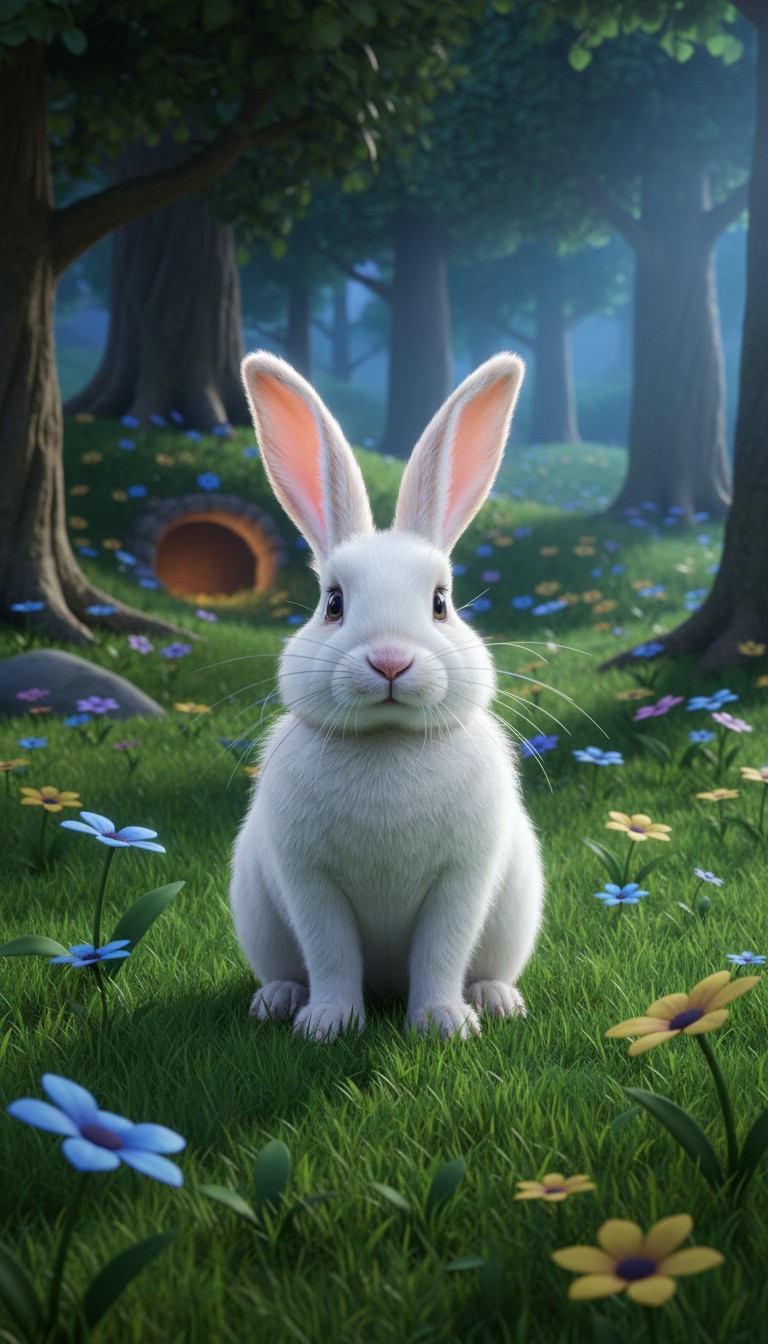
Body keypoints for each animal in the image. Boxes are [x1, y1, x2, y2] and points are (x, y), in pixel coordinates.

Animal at [229, 350, 544, 1042]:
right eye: (333, 603)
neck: (389, 740)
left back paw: (496, 1000)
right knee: (291, 968)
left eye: (441, 602)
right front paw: (327, 1025)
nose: (391, 661)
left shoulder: (462, 881)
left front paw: (444, 1024)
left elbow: (441, 952)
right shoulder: (309, 882)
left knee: (484, 967)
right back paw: (280, 1000)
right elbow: (330, 954)